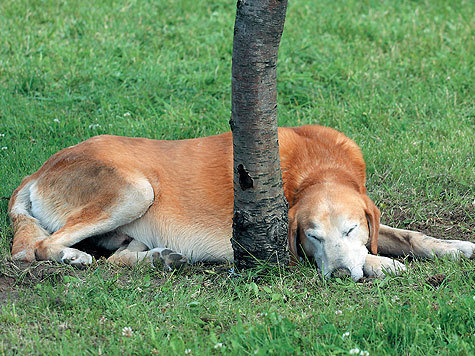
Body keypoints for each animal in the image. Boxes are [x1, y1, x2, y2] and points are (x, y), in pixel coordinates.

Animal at [7, 126, 475, 280]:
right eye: (312, 236)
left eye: (349, 228)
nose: (341, 277)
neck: (317, 168)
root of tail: (36, 172)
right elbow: (373, 255)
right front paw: (381, 265)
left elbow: (410, 236)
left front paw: (456, 248)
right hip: (136, 189)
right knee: (42, 246)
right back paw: (71, 257)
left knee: (119, 258)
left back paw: (161, 258)